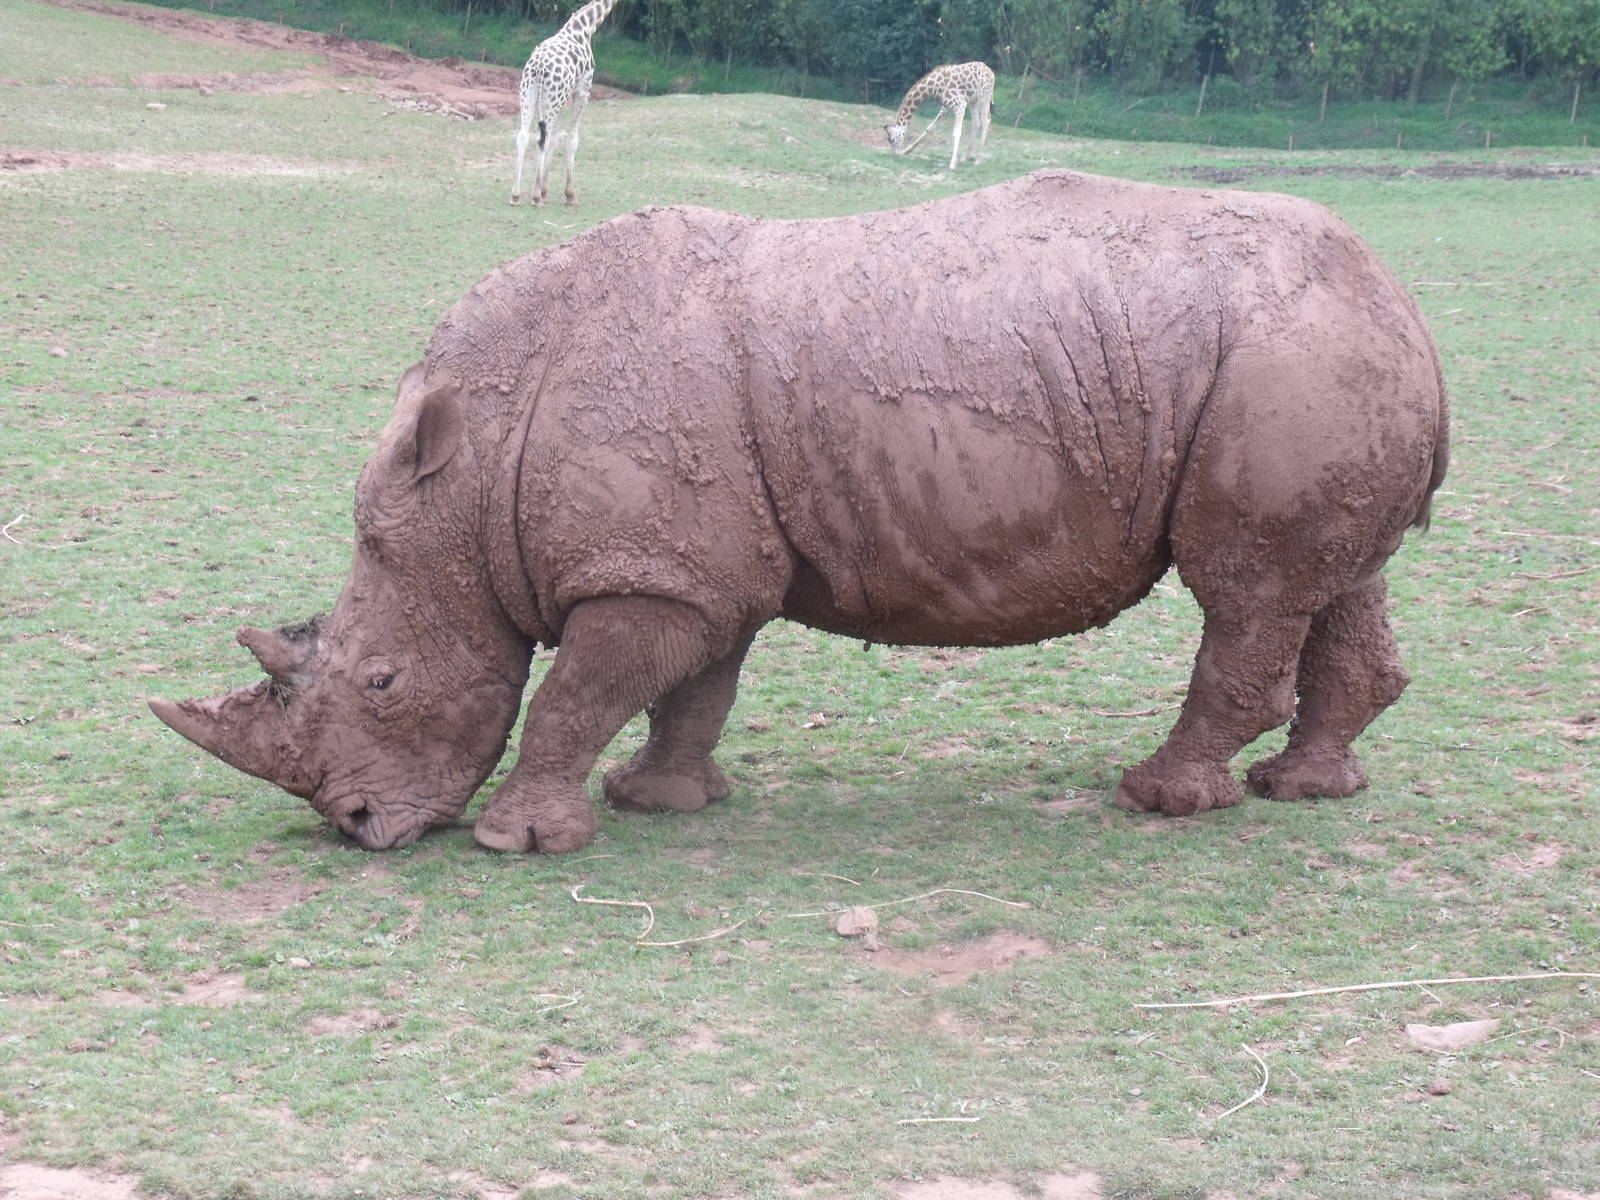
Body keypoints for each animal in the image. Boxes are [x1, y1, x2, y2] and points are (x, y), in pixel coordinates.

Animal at [150, 170, 1448, 853]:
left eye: (380, 684)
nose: (360, 824)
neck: (470, 475)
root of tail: (1403, 306)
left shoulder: (647, 570)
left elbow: (576, 696)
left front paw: (519, 839)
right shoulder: (694, 565)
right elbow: (692, 689)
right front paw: (661, 801)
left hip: (1289, 363)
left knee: (1247, 592)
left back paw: (1159, 800)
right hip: (1321, 370)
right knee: (1335, 580)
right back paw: (1305, 790)